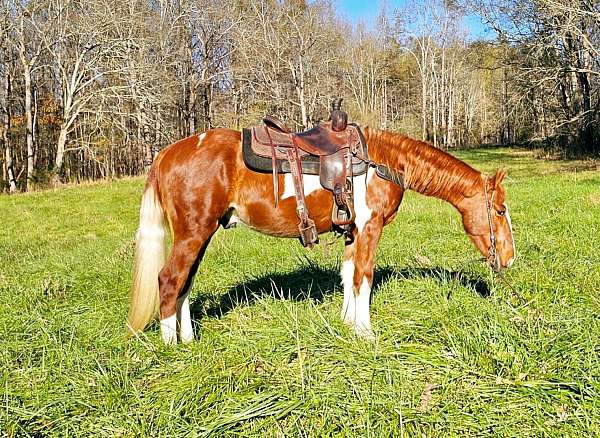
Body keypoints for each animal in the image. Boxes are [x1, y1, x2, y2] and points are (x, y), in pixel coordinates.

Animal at [126, 126, 516, 342]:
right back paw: (172, 347)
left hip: (200, 235)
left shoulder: (352, 230)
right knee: (169, 280)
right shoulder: (370, 227)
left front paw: (348, 323)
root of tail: (166, 154)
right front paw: (365, 332)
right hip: (193, 234)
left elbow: (348, 276)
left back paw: (189, 340)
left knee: (185, 283)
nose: (510, 258)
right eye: (500, 210)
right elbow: (364, 277)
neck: (383, 161)